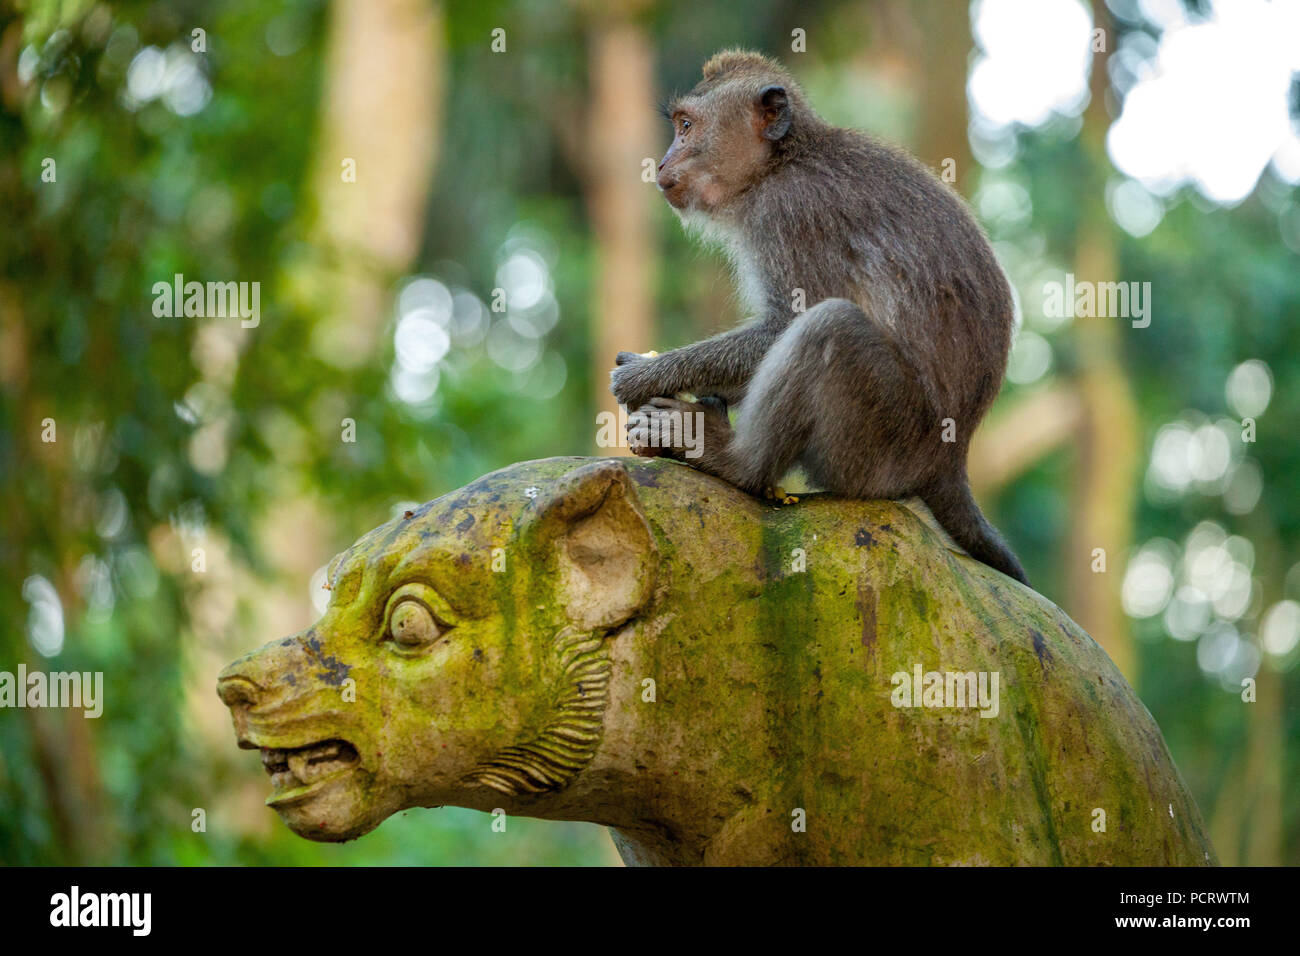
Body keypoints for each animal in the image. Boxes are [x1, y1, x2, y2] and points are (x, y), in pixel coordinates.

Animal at [610, 49, 1029, 586]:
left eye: (686, 126)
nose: (662, 161)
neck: (784, 160)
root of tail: (949, 462)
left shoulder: (788, 213)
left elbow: (784, 322)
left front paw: (645, 375)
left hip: (884, 444)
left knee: (832, 326)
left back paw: (735, 460)